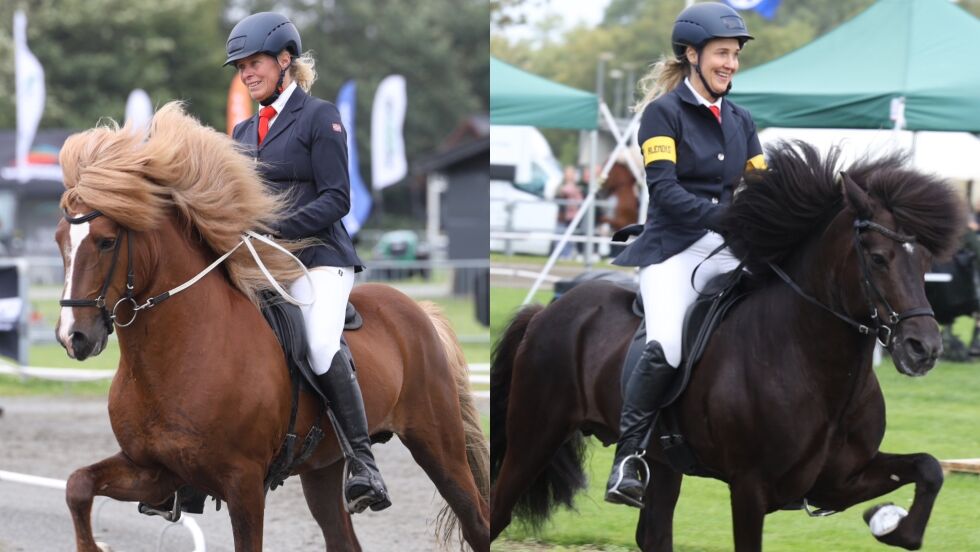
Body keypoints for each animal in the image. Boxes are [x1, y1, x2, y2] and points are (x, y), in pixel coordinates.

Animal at [53, 102, 490, 548]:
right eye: (59, 241)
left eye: (106, 241)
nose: (74, 337)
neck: (175, 357)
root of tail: (418, 311)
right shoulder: (154, 470)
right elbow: (77, 485)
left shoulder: (243, 483)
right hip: (323, 468)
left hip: (438, 446)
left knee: (476, 519)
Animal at [490, 143, 956, 552]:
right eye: (878, 258)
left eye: (926, 262)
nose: (924, 349)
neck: (813, 366)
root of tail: (548, 311)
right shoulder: (750, 488)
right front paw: (888, 521)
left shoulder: (840, 479)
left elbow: (929, 468)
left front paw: (889, 524)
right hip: (536, 435)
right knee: (498, 510)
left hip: (660, 464)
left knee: (654, 535)